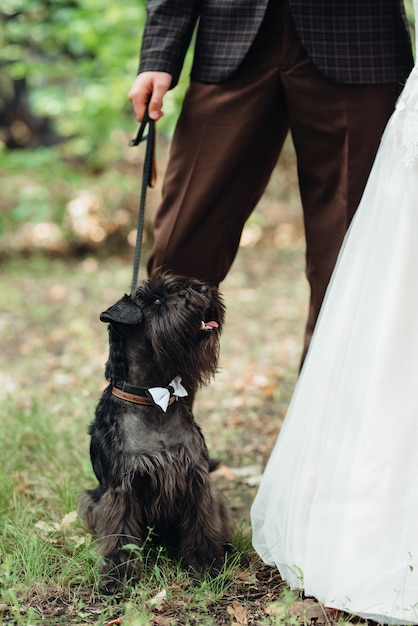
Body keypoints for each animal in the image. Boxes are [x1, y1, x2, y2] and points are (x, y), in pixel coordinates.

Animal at [80, 270, 230, 588]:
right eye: (157, 301)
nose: (204, 289)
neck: (152, 398)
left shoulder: (196, 478)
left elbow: (201, 524)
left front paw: (207, 565)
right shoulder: (121, 489)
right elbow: (121, 533)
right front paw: (118, 577)